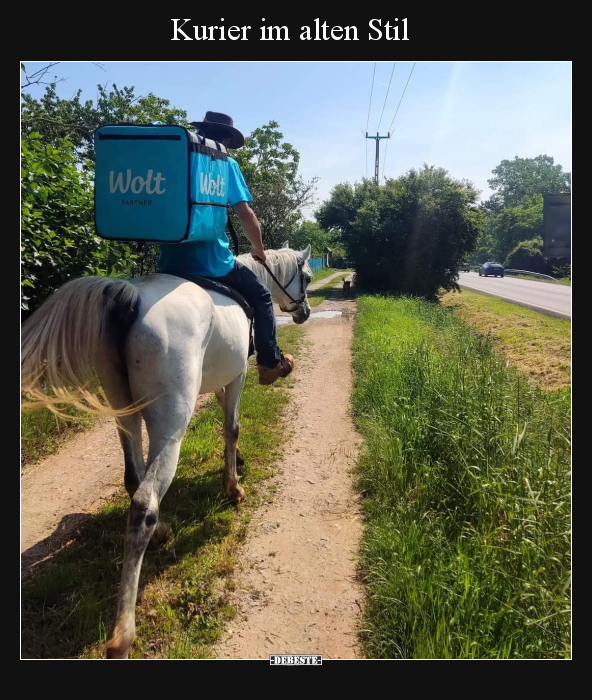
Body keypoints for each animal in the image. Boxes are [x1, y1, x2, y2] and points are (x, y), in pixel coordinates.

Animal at [20, 243, 312, 660]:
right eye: (306, 277)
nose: (304, 312)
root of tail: (130, 296)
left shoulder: (219, 378)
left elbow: (225, 419)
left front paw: (237, 465)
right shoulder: (237, 374)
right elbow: (232, 426)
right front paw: (233, 487)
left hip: (123, 410)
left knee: (133, 479)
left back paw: (162, 531)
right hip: (170, 423)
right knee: (144, 501)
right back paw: (122, 635)